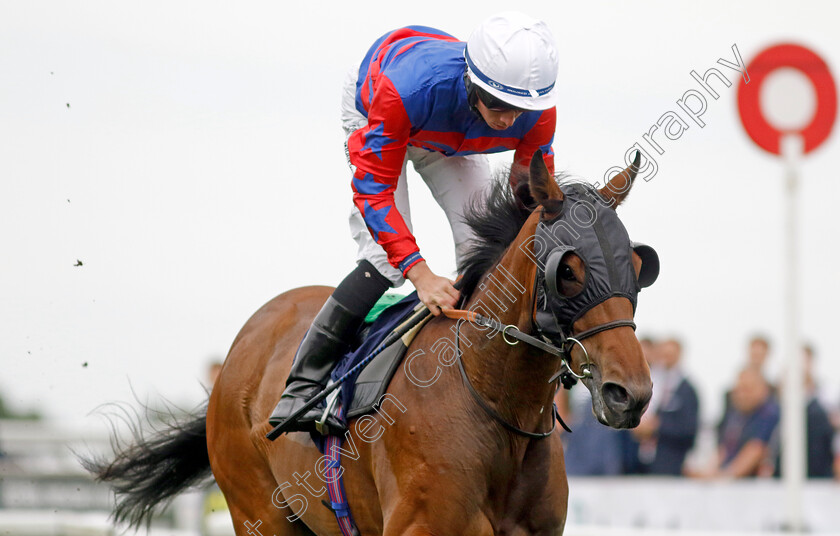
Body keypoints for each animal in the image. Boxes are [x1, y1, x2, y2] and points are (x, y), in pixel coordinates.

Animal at [88, 152, 660, 536]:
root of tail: (242, 347)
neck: (492, 401)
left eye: (639, 265)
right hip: (260, 511)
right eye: (569, 270)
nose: (630, 395)